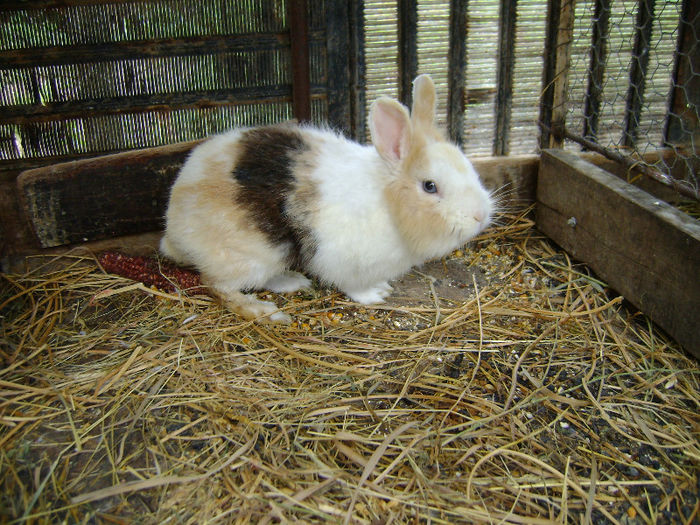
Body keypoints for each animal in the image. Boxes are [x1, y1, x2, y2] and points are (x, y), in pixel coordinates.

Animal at [162, 73, 494, 320]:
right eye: (429, 186)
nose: (480, 217)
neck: (387, 202)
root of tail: (173, 228)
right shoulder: (344, 261)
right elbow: (352, 286)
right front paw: (377, 294)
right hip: (249, 257)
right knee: (219, 287)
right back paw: (265, 312)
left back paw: (293, 281)